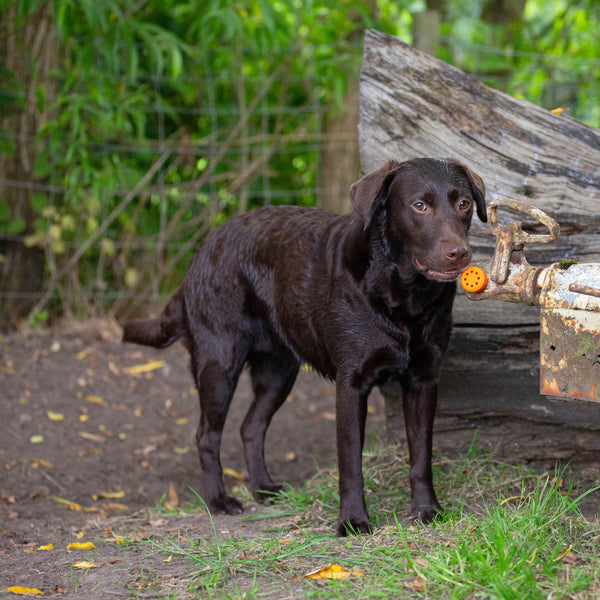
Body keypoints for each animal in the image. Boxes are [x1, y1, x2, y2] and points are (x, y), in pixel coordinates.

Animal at [123, 157, 488, 532]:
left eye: (463, 203)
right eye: (419, 206)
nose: (459, 253)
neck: (405, 298)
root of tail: (204, 247)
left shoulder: (423, 381)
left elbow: (421, 456)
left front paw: (427, 509)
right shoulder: (351, 384)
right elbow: (350, 463)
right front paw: (353, 521)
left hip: (278, 372)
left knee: (250, 426)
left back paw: (263, 488)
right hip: (219, 365)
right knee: (206, 436)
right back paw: (218, 501)